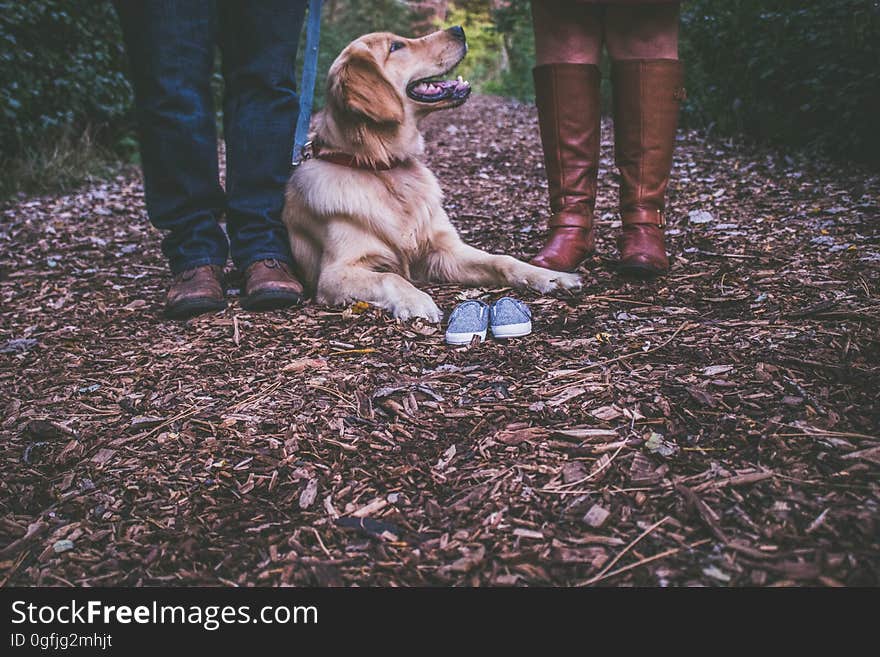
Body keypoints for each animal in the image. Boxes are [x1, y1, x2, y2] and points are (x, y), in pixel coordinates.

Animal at [284, 27, 584, 320]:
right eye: (396, 47)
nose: (459, 29)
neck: (381, 167)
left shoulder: (444, 250)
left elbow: (501, 259)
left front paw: (550, 276)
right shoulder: (334, 273)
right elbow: (391, 277)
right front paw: (416, 300)